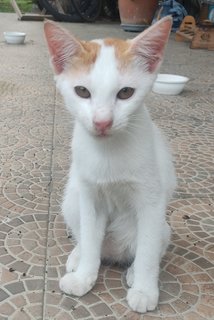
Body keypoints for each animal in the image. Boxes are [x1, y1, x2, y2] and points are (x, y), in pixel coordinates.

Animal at [43, 16, 176, 314]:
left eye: (126, 93)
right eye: (82, 91)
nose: (102, 122)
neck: (108, 152)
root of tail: (114, 251)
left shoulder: (151, 199)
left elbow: (147, 249)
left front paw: (145, 290)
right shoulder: (90, 195)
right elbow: (91, 238)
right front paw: (84, 276)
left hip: (163, 226)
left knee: (151, 246)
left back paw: (134, 272)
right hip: (72, 198)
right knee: (86, 237)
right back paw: (78, 256)